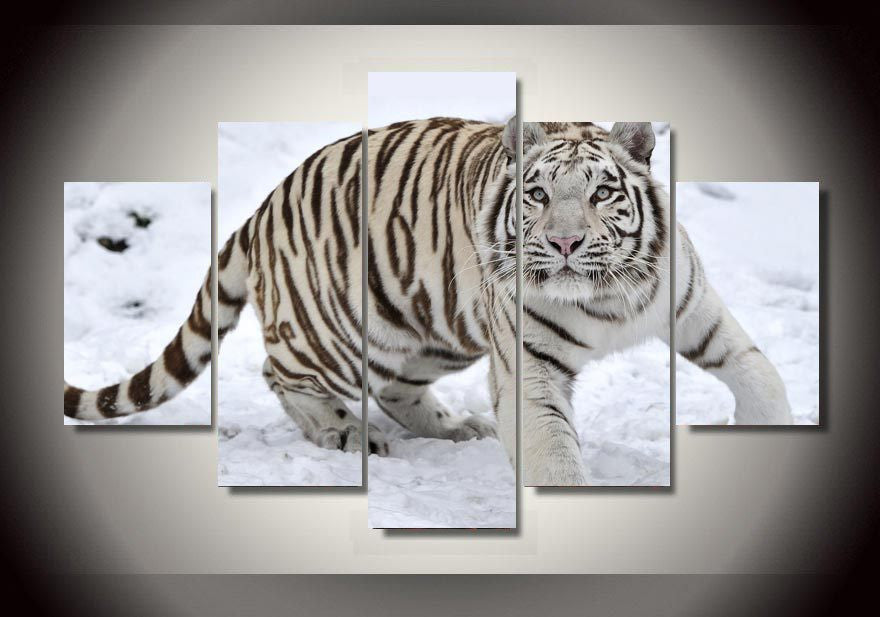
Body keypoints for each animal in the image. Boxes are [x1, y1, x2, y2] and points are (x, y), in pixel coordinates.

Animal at [63, 117, 792, 488]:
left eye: (602, 192)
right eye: (537, 194)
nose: (564, 241)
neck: (606, 294)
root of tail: (262, 207)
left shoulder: (692, 308)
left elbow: (760, 373)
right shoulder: (528, 365)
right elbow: (554, 453)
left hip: (433, 330)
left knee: (396, 388)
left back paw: (455, 427)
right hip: (342, 332)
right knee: (279, 371)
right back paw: (344, 431)